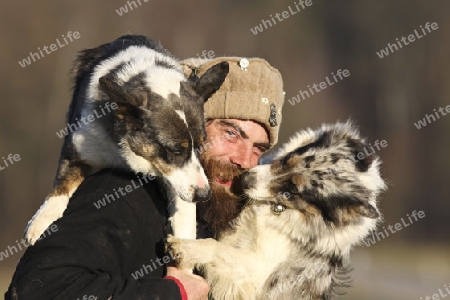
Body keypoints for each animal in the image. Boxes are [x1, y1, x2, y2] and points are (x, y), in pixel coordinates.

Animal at [24, 35, 229, 246]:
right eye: (175, 150)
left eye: (201, 144)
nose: (204, 195)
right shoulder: (78, 150)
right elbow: (62, 184)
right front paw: (40, 222)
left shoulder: (179, 180)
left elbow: (184, 218)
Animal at [167, 122, 384, 300]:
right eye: (288, 159)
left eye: (292, 191)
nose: (244, 180)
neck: (275, 208)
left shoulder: (255, 271)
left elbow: (217, 248)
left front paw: (186, 248)